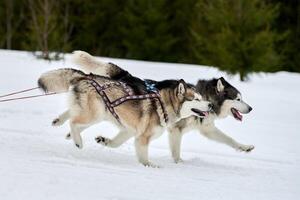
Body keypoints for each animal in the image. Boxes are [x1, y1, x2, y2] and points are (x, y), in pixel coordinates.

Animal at [38, 66, 212, 166]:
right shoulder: (142, 138)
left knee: (72, 115)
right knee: (74, 122)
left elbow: (115, 143)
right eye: (197, 99)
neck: (164, 104)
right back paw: (77, 141)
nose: (210, 105)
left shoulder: (128, 131)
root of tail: (86, 76)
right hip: (95, 114)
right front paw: (149, 165)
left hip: (99, 113)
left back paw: (60, 123)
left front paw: (104, 141)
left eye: (202, 98)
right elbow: (143, 156)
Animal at [61, 50, 255, 163]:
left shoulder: (207, 129)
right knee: (77, 117)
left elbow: (229, 140)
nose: (251, 108)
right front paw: (178, 163)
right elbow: (176, 152)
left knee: (74, 114)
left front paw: (244, 147)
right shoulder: (175, 130)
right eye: (238, 98)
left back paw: (64, 126)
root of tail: (126, 75)